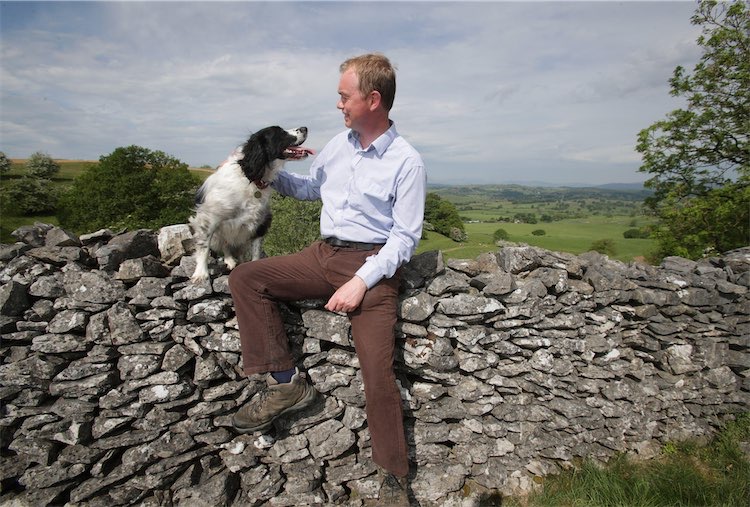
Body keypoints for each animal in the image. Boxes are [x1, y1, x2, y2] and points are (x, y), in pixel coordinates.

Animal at [192, 125, 316, 284]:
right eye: (280, 132)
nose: (304, 128)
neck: (250, 179)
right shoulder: (210, 218)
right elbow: (204, 246)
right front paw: (201, 273)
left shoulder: (260, 221)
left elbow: (256, 251)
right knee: (224, 244)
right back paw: (229, 260)